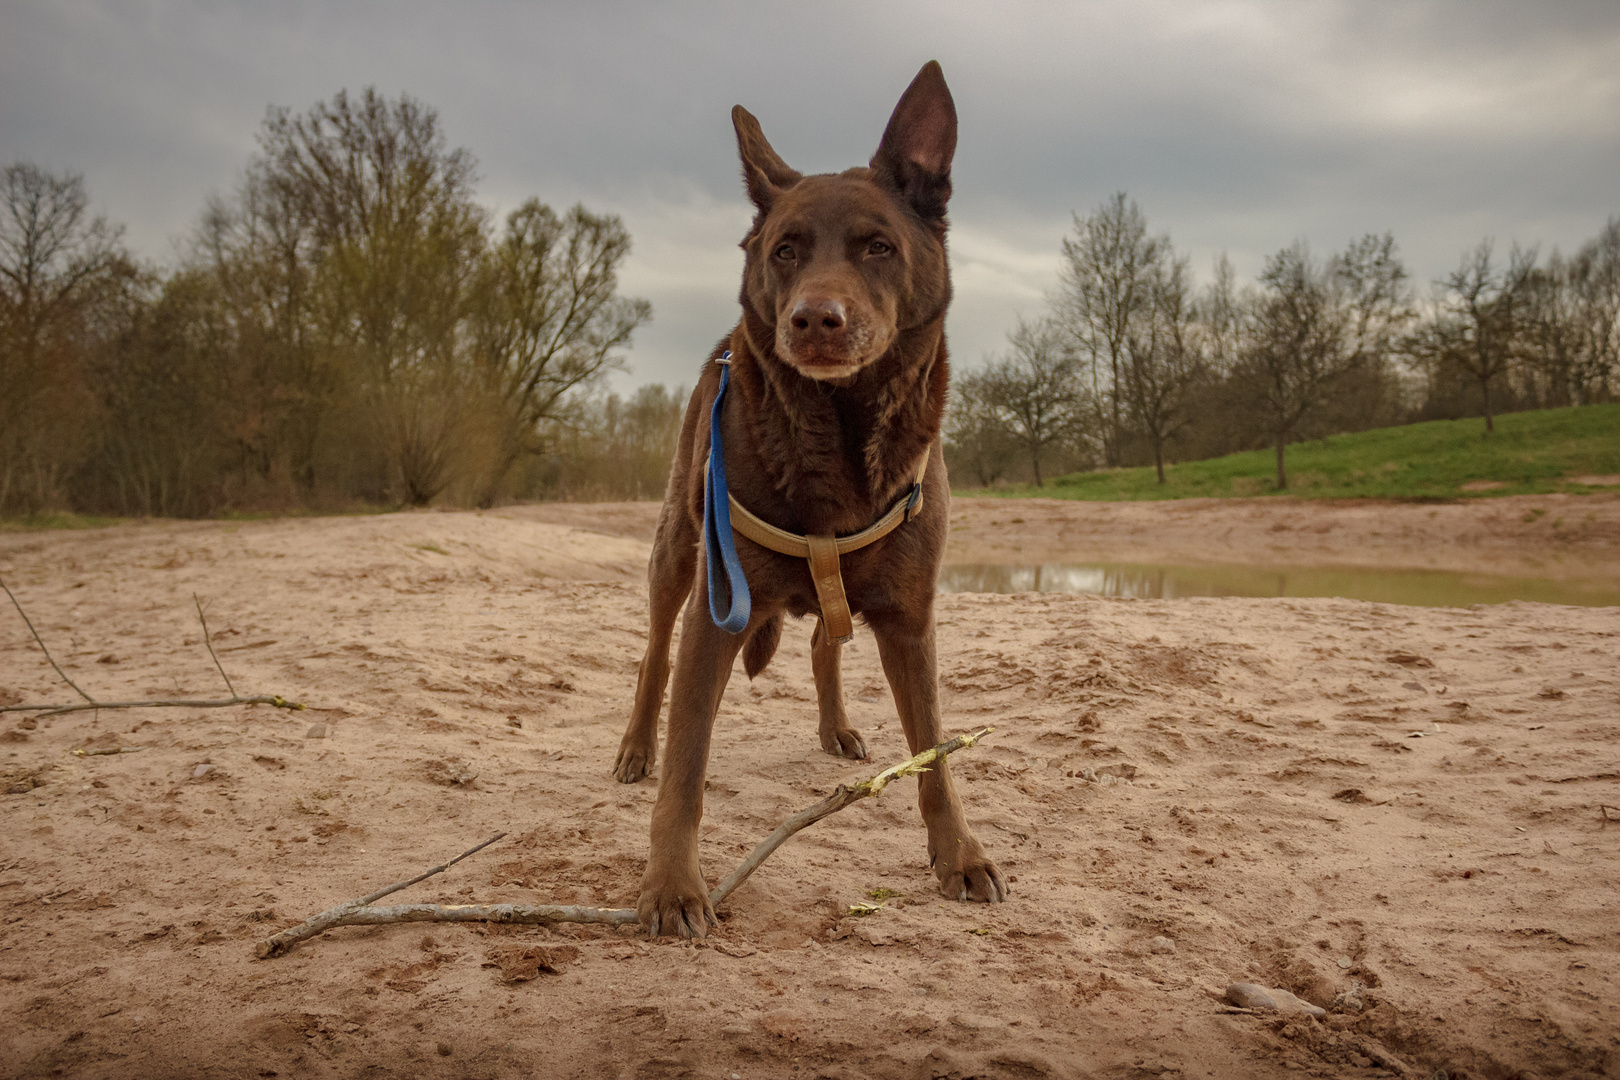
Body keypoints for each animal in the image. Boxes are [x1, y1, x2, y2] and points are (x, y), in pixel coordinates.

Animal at [612, 61, 1004, 939]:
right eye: (786, 250)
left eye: (879, 247)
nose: (814, 320)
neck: (836, 435)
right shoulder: (717, 614)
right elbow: (686, 765)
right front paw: (671, 884)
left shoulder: (910, 617)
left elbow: (933, 752)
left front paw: (959, 854)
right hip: (675, 551)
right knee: (655, 653)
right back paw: (634, 747)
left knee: (826, 644)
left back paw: (837, 726)